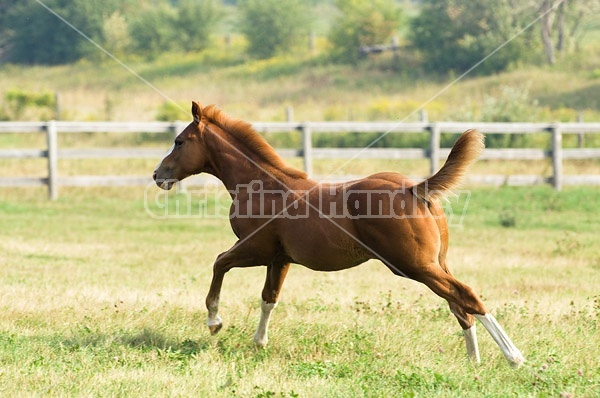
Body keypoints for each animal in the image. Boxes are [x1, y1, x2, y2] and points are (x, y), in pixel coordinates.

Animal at [154, 102, 524, 366]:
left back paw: (513, 357)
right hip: (434, 263)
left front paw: (214, 321)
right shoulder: (280, 258)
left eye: (179, 141)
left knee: (467, 296)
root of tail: (416, 189)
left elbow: (219, 263)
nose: (158, 174)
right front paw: (259, 343)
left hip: (413, 265)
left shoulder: (254, 249)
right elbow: (268, 298)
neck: (262, 186)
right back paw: (474, 361)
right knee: (458, 305)